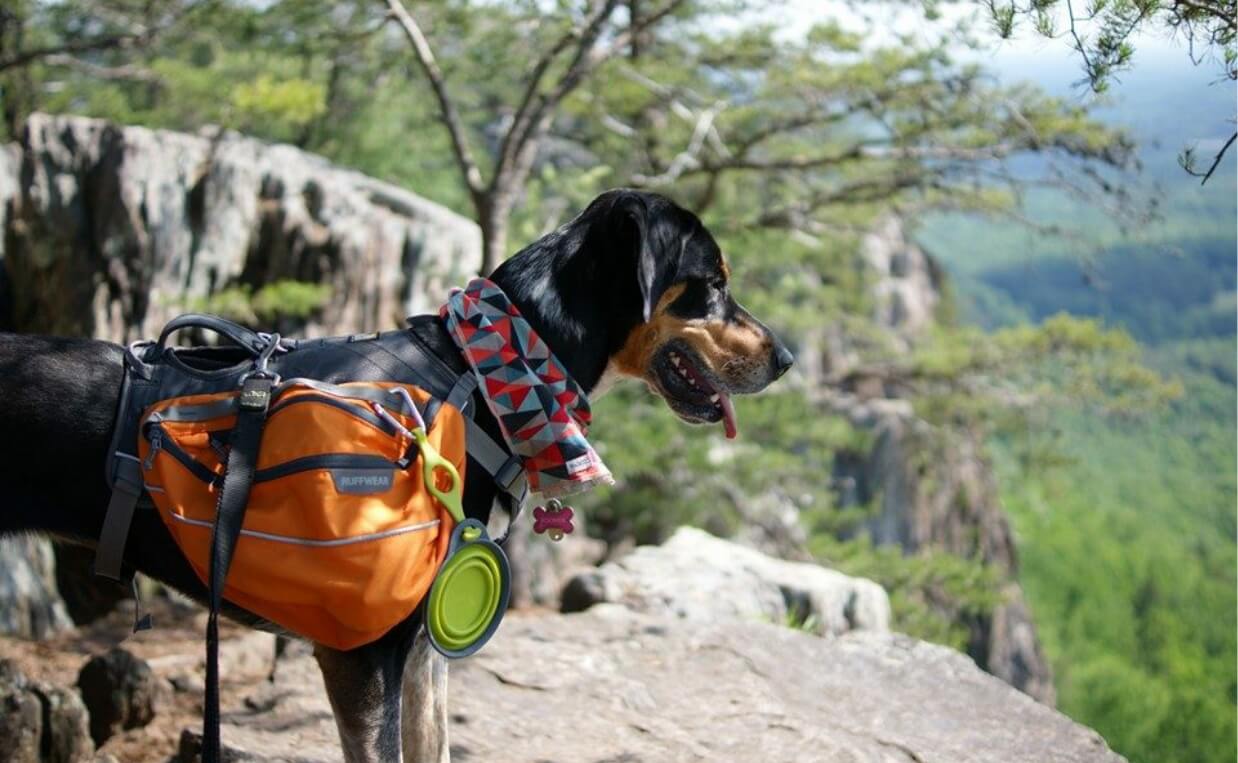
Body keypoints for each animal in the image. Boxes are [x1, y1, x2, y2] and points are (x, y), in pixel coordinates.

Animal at [0, 188, 792, 758]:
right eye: (710, 286)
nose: (786, 358)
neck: (480, 373)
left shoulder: (421, 647)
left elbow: (430, 742)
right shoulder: (361, 653)